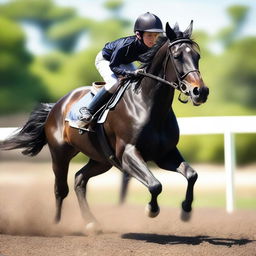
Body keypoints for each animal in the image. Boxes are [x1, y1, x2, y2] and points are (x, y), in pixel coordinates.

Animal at [0, 22, 208, 232]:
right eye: (177, 56)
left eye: (197, 56)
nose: (200, 91)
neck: (148, 105)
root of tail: (57, 105)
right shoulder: (128, 154)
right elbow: (155, 185)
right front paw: (151, 209)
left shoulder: (165, 154)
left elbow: (192, 175)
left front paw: (186, 210)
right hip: (60, 153)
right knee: (60, 189)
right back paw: (56, 225)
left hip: (101, 159)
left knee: (79, 179)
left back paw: (91, 222)